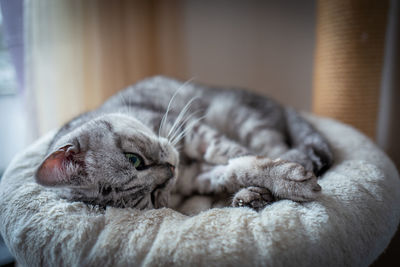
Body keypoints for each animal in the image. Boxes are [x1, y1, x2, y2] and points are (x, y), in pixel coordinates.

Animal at [36, 76, 332, 213]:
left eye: (134, 159)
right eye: (152, 195)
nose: (170, 170)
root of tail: (283, 105)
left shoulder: (191, 130)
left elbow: (241, 157)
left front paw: (283, 179)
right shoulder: (197, 176)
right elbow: (232, 171)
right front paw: (256, 187)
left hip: (243, 118)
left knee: (288, 150)